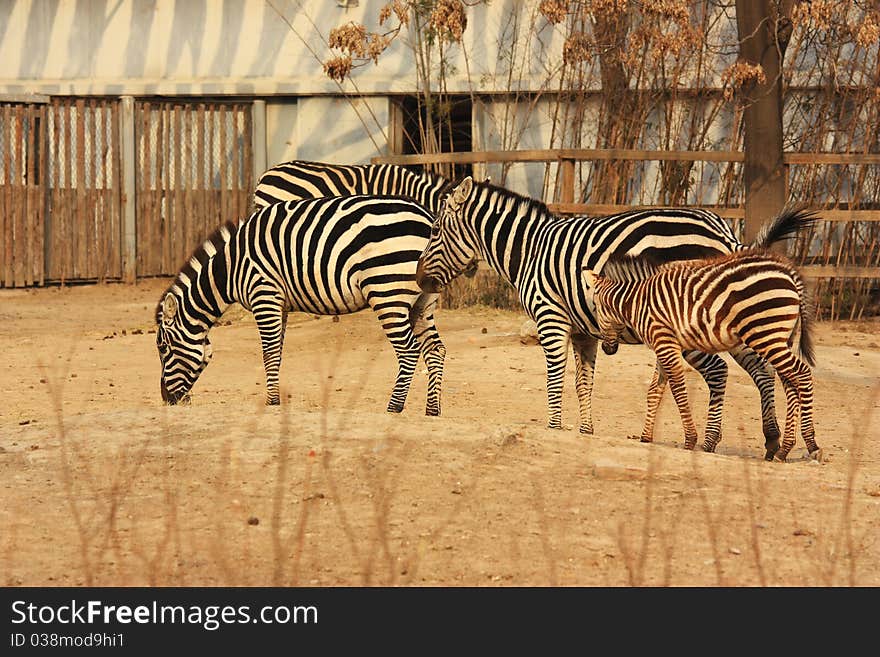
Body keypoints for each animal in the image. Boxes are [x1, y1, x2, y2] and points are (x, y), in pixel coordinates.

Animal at [155, 193, 446, 416]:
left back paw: (393, 407)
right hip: (422, 302)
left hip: (388, 293)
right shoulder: (279, 304)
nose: (167, 399)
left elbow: (269, 353)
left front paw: (272, 402)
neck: (230, 268)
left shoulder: (264, 294)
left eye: (163, 348)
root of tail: (426, 217)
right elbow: (278, 353)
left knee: (409, 350)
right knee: (436, 350)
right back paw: (432, 409)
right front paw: (275, 398)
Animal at [420, 174, 792, 448]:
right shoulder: (583, 330)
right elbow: (583, 382)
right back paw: (772, 439)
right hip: (731, 318)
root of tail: (723, 231)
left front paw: (554, 427)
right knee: (762, 370)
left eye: (435, 230)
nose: (420, 279)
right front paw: (586, 430)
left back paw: (710, 441)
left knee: (719, 371)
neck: (530, 250)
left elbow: (555, 378)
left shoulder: (550, 317)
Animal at [584, 210, 820, 462]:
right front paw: (646, 437)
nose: (607, 349)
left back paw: (811, 444)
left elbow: (678, 387)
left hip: (766, 336)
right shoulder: (665, 343)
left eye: (596, 308)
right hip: (779, 337)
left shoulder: (664, 342)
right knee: (790, 382)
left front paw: (690, 439)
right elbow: (656, 389)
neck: (638, 300)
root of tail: (788, 271)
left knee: (802, 374)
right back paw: (785, 448)